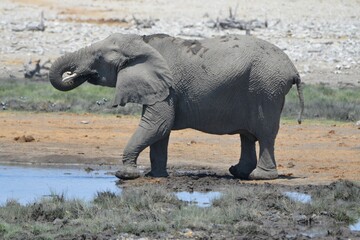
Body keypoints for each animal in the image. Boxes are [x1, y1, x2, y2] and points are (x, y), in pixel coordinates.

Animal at [49, 33, 304, 180]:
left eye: (98, 57)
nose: (77, 73)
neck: (143, 42)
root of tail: (293, 69)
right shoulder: (160, 87)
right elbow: (159, 131)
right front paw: (155, 175)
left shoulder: (168, 87)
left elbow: (157, 125)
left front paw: (126, 175)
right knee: (248, 135)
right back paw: (238, 172)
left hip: (266, 88)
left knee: (265, 134)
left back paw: (259, 177)